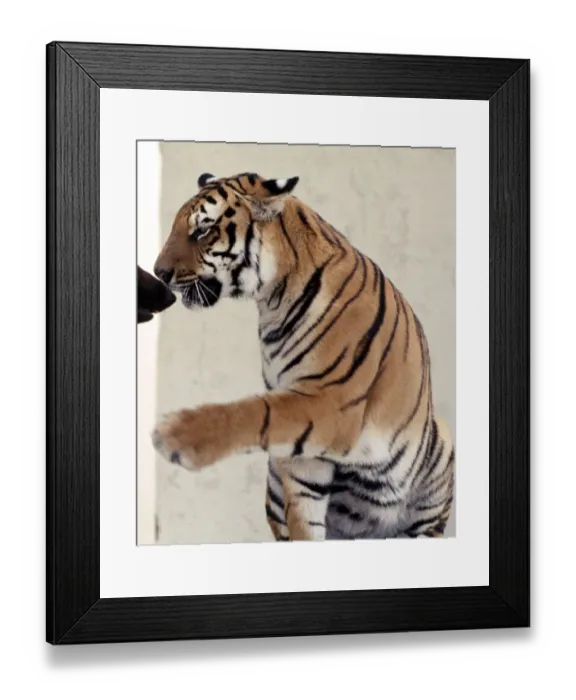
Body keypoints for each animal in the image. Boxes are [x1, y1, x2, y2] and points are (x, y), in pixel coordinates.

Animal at [151, 171, 455, 541]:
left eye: (202, 230)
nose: (158, 272)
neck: (271, 300)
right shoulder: (300, 453)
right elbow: (303, 515)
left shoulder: (333, 401)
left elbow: (254, 412)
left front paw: (175, 434)